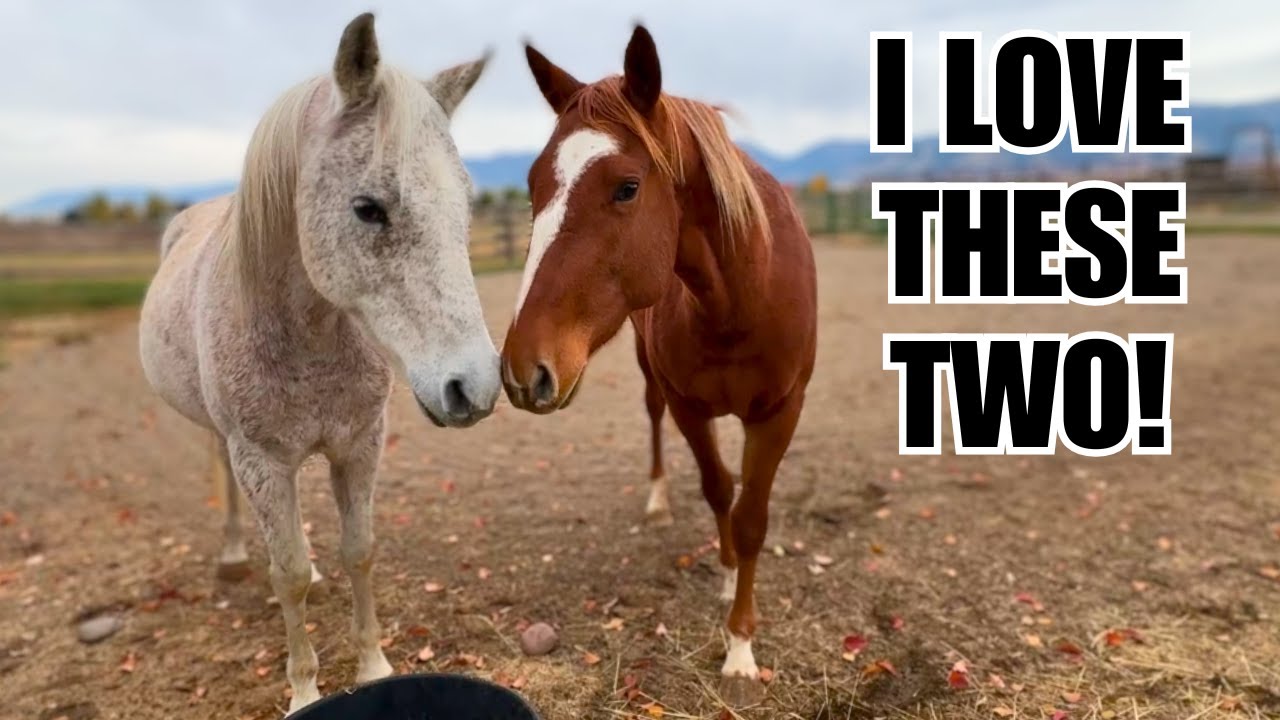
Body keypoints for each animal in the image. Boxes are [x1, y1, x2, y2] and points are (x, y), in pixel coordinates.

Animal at [138, 14, 499, 713]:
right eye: (367, 208)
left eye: (466, 201)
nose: (473, 387)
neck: (306, 335)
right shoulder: (260, 458)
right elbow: (288, 575)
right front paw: (304, 691)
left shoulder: (359, 445)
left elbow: (359, 551)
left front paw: (374, 665)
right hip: (226, 440)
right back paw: (233, 554)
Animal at [501, 25, 818, 703]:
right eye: (535, 183)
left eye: (626, 187)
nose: (521, 369)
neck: (740, 300)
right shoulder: (687, 406)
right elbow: (719, 489)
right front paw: (728, 581)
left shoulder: (781, 411)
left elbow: (751, 516)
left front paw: (741, 643)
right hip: (650, 374)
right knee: (654, 421)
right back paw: (657, 500)